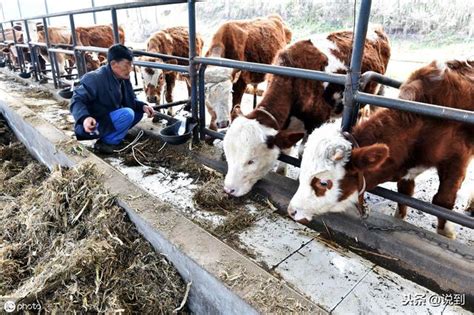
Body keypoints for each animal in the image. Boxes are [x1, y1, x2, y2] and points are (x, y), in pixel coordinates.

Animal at [224, 26, 390, 198]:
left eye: (251, 160)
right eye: (227, 151)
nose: (228, 189)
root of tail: (377, 28)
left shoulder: (315, 122)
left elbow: (304, 153)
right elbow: (286, 148)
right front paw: (281, 172)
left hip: (373, 95)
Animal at [288, 58, 474, 239]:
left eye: (324, 182)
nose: (292, 210)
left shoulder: (458, 158)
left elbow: (443, 200)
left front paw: (446, 233)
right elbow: (405, 192)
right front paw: (399, 218)